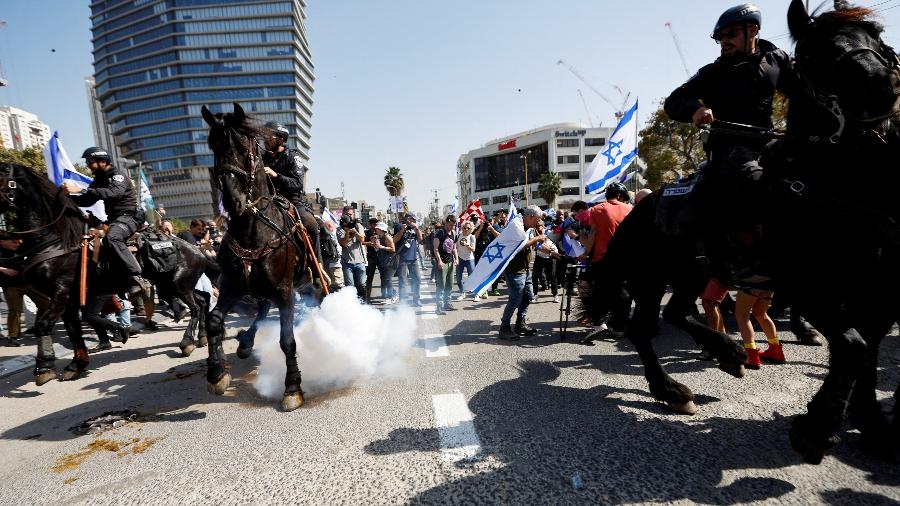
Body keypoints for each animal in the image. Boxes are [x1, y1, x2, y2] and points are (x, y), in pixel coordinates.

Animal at [201, 102, 326, 412]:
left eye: (244, 148)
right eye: (213, 146)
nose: (232, 202)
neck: (253, 228)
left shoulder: (284, 289)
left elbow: (287, 340)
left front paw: (292, 388)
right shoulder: (231, 285)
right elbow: (214, 321)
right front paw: (216, 373)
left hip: (311, 282)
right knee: (260, 310)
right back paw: (245, 342)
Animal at [580, 0, 896, 464]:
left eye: (876, 37)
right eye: (814, 52)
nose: (880, 85)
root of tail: (639, 210)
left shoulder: (871, 293)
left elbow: (865, 349)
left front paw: (867, 423)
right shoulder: (805, 285)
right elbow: (854, 348)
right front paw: (819, 428)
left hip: (690, 270)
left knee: (673, 314)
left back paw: (723, 355)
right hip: (652, 275)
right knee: (644, 326)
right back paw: (675, 387)